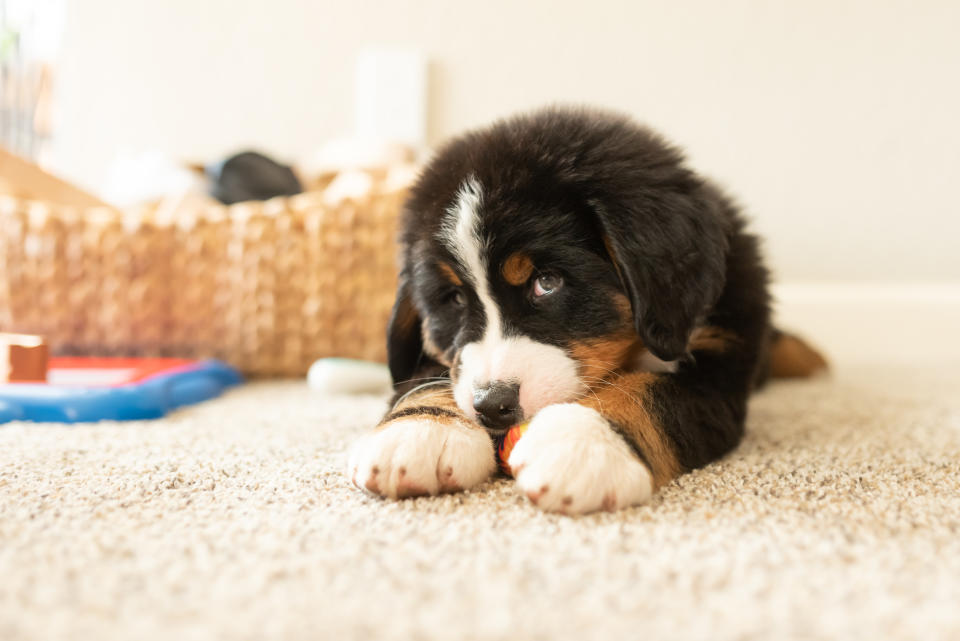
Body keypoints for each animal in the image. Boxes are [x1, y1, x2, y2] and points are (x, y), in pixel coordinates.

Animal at [344, 106, 824, 516]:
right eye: (455, 299)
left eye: (547, 282)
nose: (493, 405)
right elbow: (429, 375)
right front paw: (420, 432)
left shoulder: (720, 364)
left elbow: (648, 393)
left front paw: (582, 445)